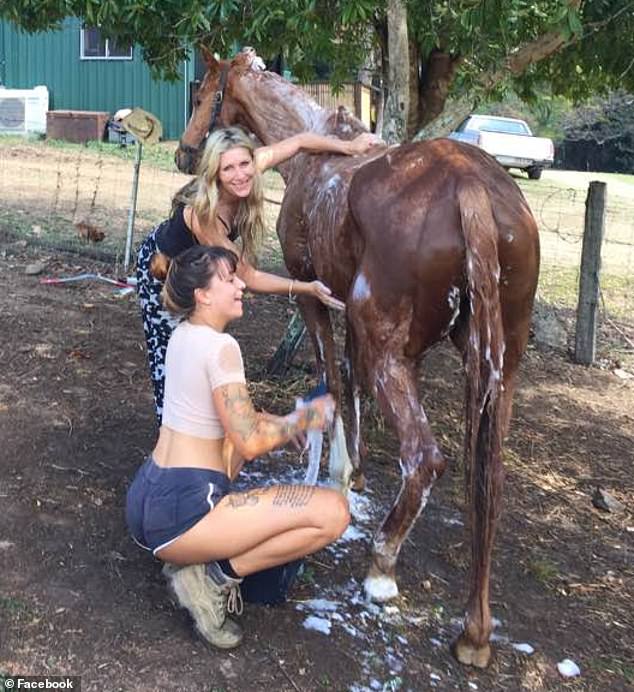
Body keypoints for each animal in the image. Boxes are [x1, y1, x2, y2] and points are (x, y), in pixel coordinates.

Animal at [174, 51, 540, 668]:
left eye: (202, 93)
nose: (183, 151)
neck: (318, 154)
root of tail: (470, 186)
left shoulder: (314, 299)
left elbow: (332, 381)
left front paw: (337, 476)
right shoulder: (360, 322)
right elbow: (350, 384)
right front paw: (359, 472)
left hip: (390, 349)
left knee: (425, 459)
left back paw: (382, 568)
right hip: (499, 367)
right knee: (488, 477)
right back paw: (475, 630)